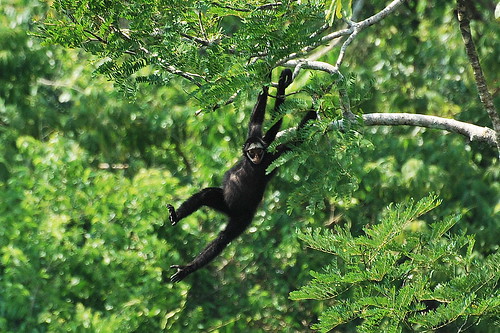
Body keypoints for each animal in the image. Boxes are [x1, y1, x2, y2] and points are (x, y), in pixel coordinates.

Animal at [168, 68, 316, 282]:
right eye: (251, 152)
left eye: (259, 152)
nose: (256, 156)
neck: (251, 164)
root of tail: (232, 210)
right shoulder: (259, 142)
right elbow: (257, 122)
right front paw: (272, 82)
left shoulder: (269, 158)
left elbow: (292, 136)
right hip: (224, 202)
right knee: (206, 194)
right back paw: (176, 216)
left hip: (242, 218)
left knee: (223, 239)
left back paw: (188, 268)